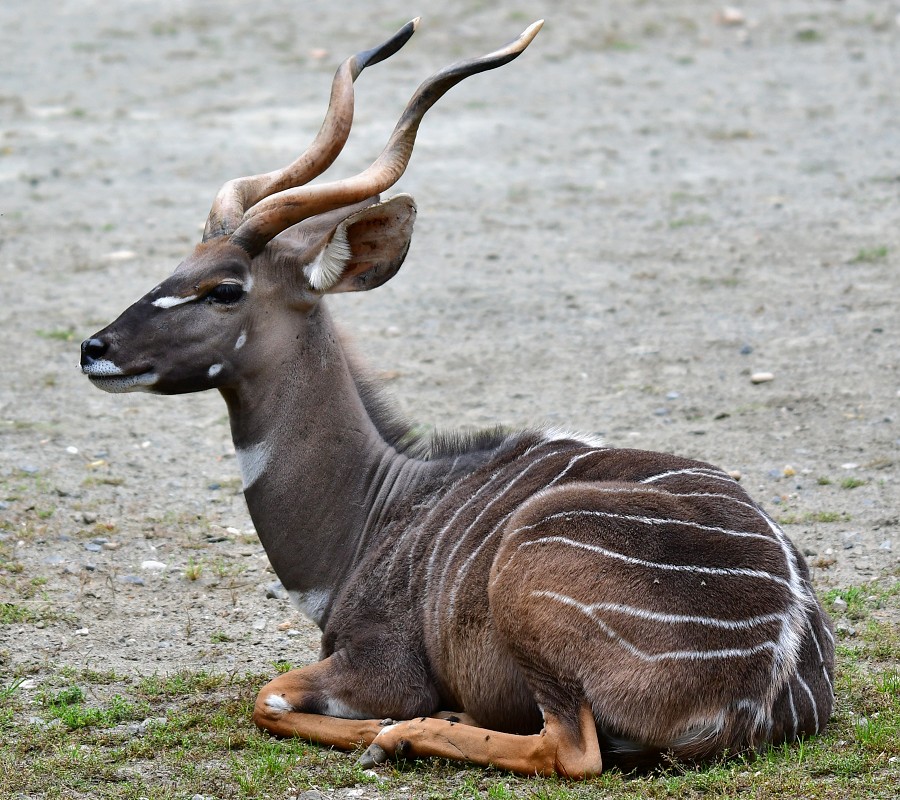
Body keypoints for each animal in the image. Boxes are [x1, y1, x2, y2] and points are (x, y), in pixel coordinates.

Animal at [81, 21, 832, 780]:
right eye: (178, 265)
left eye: (226, 288)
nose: (94, 348)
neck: (374, 512)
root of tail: (771, 669)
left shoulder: (382, 666)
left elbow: (271, 696)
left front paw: (389, 729)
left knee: (571, 749)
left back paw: (408, 734)